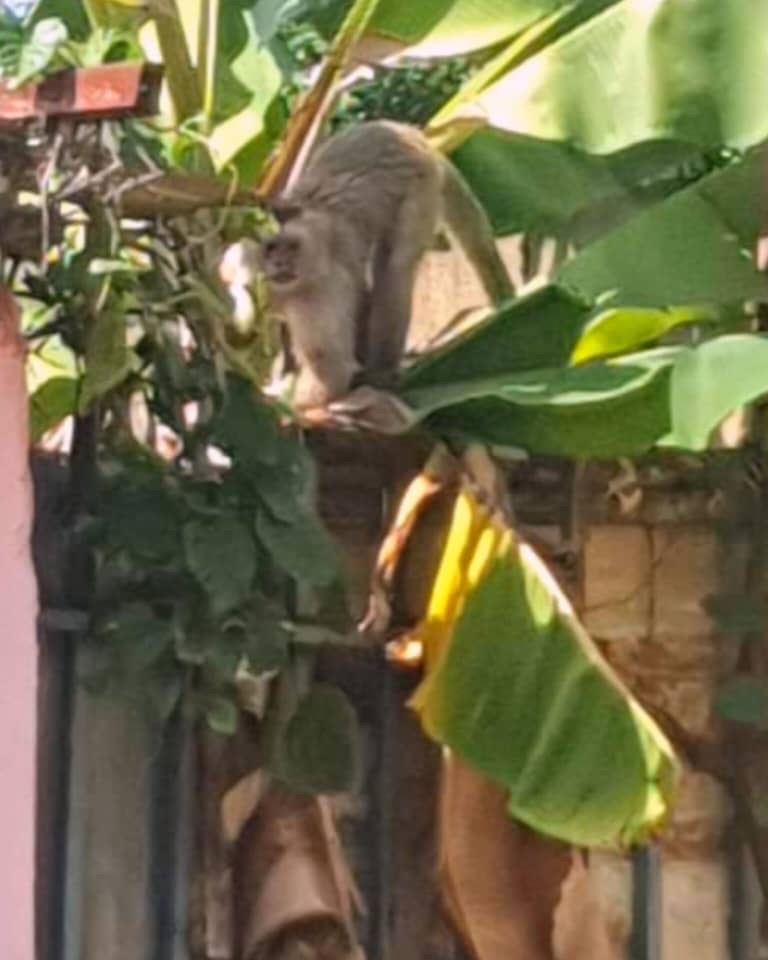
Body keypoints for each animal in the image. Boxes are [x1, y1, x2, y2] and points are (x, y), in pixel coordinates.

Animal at [256, 120, 514, 408]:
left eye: (290, 247)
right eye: (271, 248)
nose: (279, 263)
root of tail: (408, 131)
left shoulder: (317, 288)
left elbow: (331, 371)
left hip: (421, 181)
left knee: (394, 267)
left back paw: (381, 375)